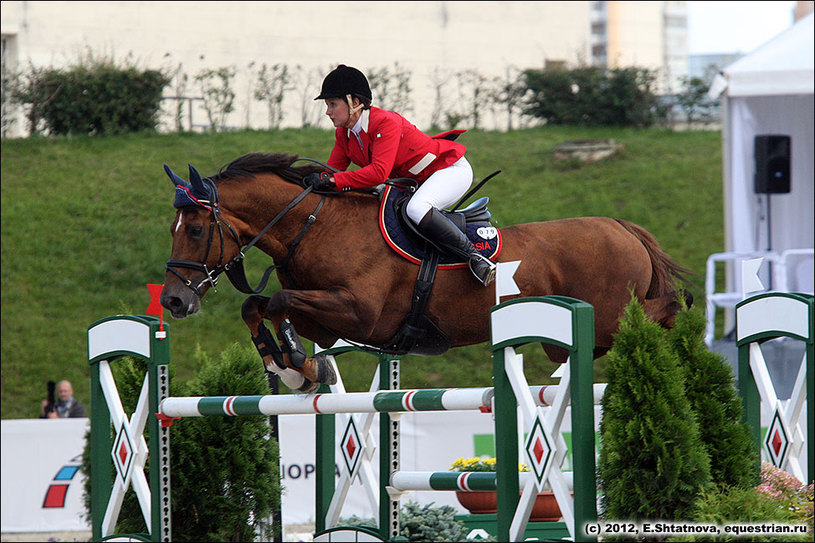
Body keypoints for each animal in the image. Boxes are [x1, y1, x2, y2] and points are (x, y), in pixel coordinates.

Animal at [158, 151, 688, 394]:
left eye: (198, 228)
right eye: (174, 228)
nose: (173, 302)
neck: (314, 227)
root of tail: (621, 226)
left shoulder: (359, 314)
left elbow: (280, 303)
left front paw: (298, 362)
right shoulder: (328, 321)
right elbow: (256, 306)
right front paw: (290, 370)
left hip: (608, 317)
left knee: (663, 309)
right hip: (568, 341)